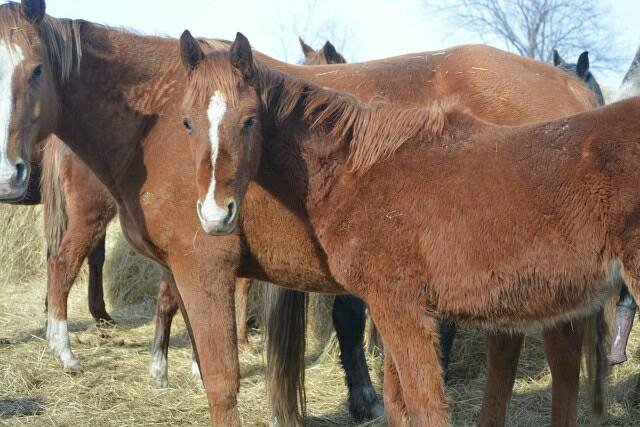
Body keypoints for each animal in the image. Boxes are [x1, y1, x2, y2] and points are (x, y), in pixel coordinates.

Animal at [179, 31, 640, 426]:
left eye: (250, 120)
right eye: (186, 122)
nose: (215, 215)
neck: (358, 170)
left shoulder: (400, 307)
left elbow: (424, 406)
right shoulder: (399, 309)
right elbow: (401, 405)